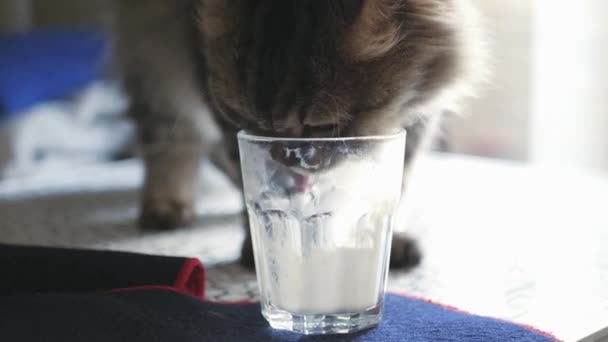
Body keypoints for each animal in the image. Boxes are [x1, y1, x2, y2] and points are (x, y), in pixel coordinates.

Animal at [113, 0, 484, 270]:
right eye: (241, 119)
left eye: (321, 128)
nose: (281, 155)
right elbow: (249, 179)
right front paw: (267, 243)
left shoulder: (418, 109)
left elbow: (393, 179)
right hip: (148, 53)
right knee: (171, 134)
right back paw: (167, 205)